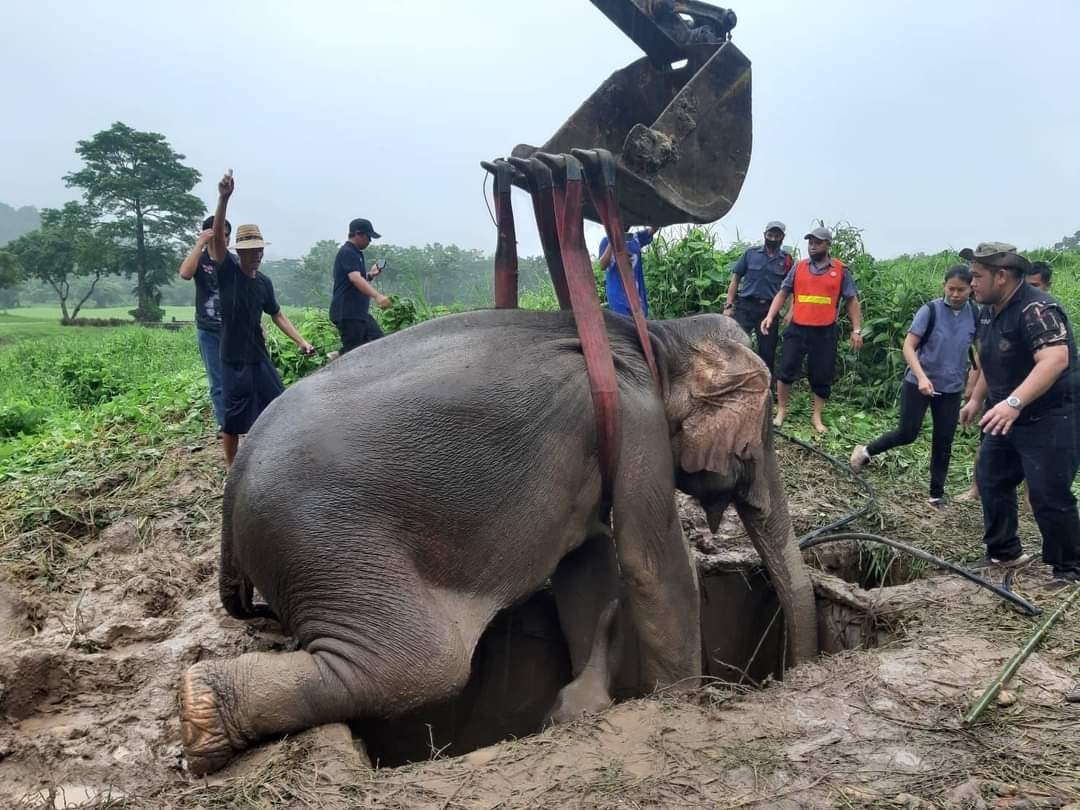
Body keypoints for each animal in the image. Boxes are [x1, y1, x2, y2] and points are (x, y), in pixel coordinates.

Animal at [179, 306, 816, 777]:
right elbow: (651, 565)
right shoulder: (638, 421)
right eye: (761, 436)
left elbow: (587, 558)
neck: (657, 338)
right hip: (325, 542)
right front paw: (679, 704)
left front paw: (590, 699)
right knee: (422, 664)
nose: (797, 670)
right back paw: (199, 710)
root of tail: (232, 489)